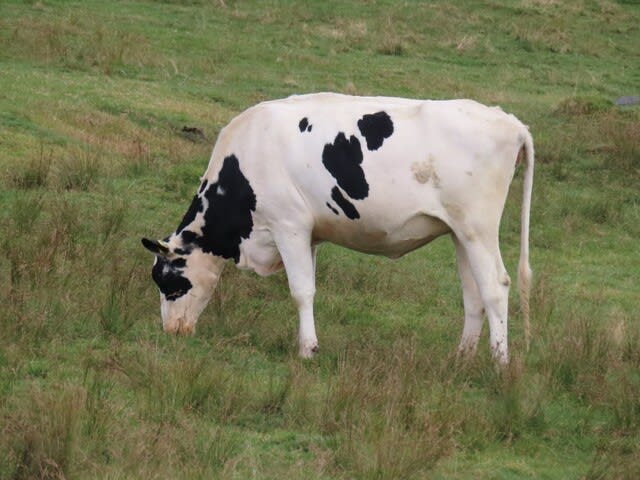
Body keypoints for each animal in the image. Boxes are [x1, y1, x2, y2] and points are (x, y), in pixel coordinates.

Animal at [141, 93, 536, 364]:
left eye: (170, 282)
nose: (171, 332)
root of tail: (510, 122)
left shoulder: (289, 225)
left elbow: (301, 291)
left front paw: (307, 350)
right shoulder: (311, 234)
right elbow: (309, 286)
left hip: (477, 228)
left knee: (495, 287)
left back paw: (499, 363)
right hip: (460, 233)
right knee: (473, 294)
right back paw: (461, 359)